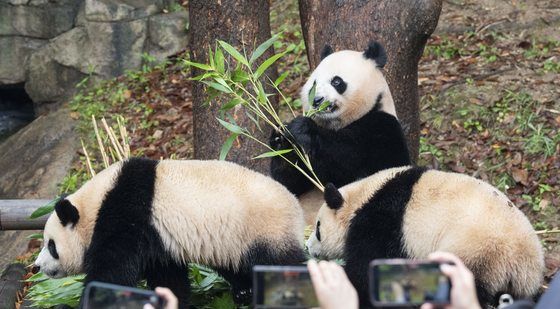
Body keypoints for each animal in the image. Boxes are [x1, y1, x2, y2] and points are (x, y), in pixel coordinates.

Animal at [34, 158, 306, 306]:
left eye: (51, 245)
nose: (37, 266)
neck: (95, 204)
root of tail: (296, 207)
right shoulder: (159, 241)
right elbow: (168, 278)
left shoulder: (126, 217)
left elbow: (111, 274)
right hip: (232, 241)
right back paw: (243, 292)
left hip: (263, 229)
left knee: (281, 264)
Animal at [270, 41, 410, 219]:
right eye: (313, 84)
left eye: (336, 82)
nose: (317, 100)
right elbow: (287, 184)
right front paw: (281, 138)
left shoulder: (383, 129)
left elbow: (350, 161)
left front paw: (301, 128)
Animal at [304, 167, 544, 306]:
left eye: (318, 229)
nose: (308, 248)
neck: (361, 199)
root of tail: (523, 260)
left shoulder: (383, 221)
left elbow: (367, 268)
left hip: (477, 252)